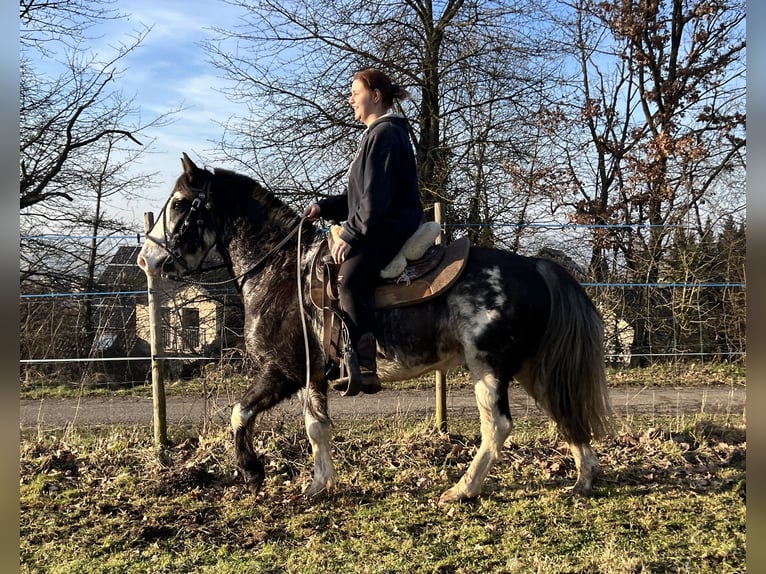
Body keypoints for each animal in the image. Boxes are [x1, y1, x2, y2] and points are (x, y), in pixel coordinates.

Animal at [138, 153, 612, 504]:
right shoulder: (312, 375)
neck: (281, 270)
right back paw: (584, 479)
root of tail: (535, 266)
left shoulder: (284, 370)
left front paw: (254, 472)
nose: (147, 259)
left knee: (497, 427)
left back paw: (462, 490)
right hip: (530, 367)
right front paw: (318, 484)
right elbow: (317, 428)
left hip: (489, 368)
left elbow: (243, 413)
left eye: (178, 203)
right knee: (563, 409)